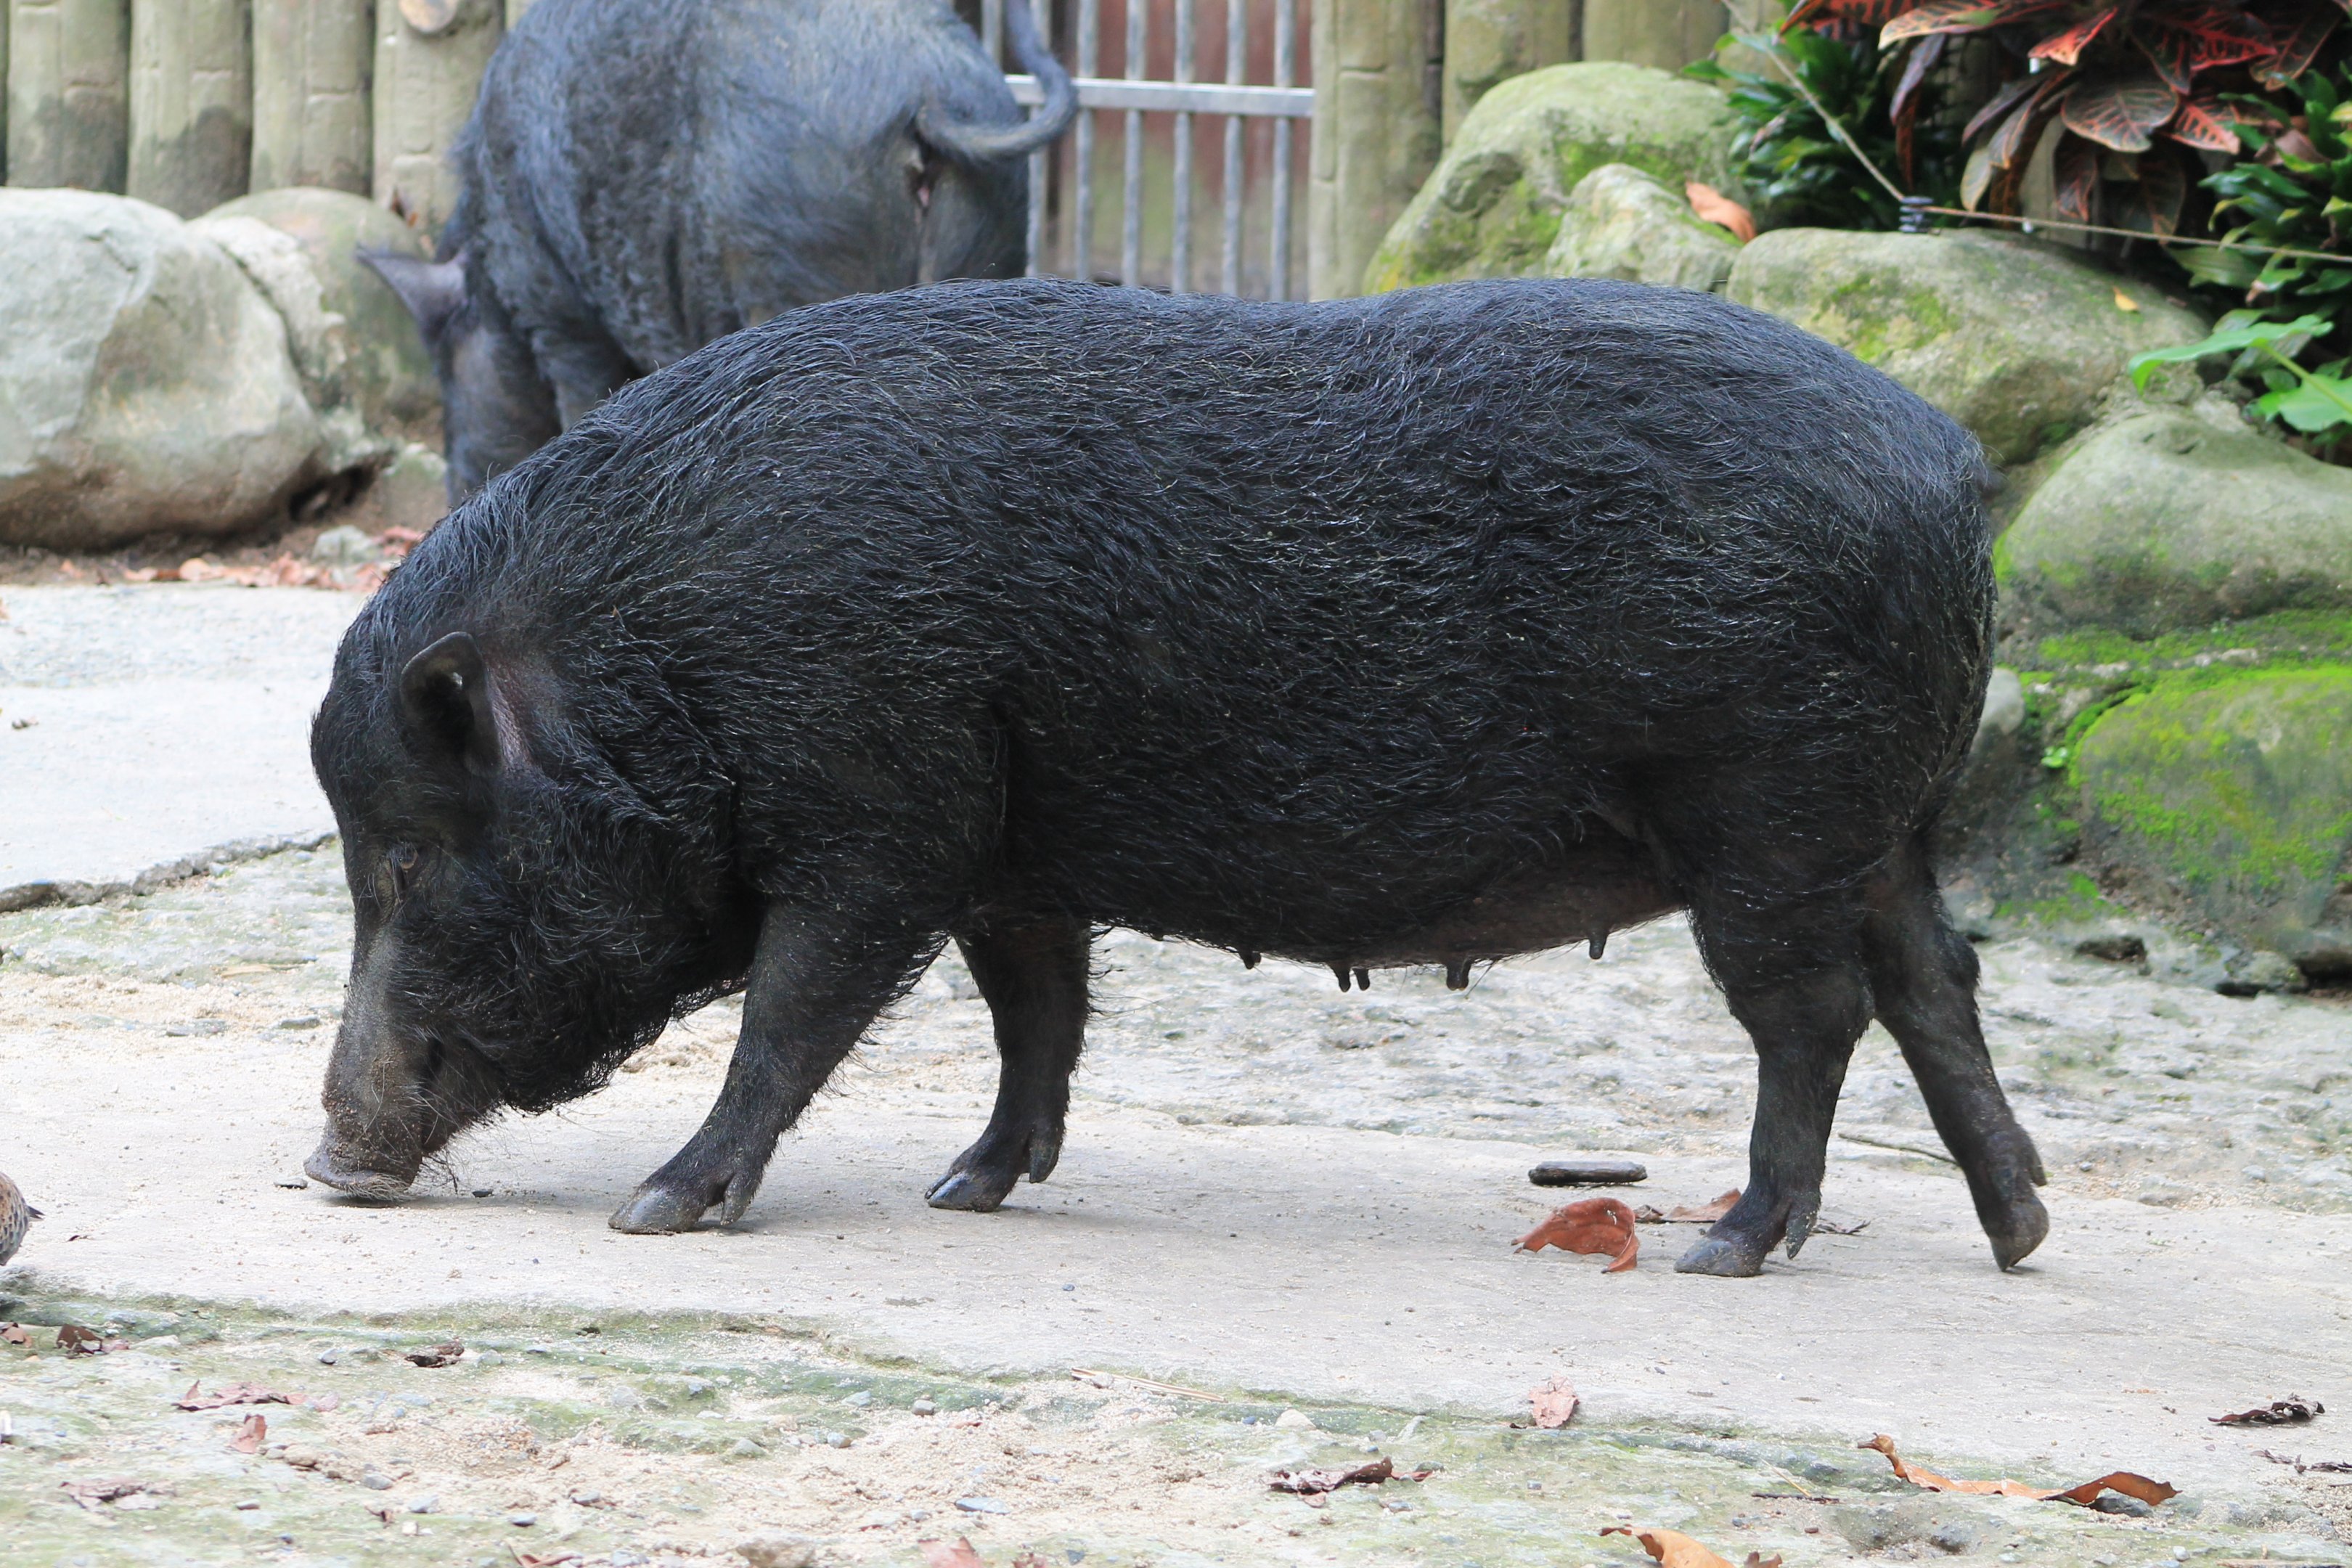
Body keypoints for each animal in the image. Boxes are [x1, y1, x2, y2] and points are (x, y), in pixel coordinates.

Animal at [305, 275, 2049, 1278]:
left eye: (405, 860)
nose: (329, 1166)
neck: (662, 659)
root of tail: (1950, 465)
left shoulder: (888, 809)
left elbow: (794, 1015)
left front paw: (657, 1212)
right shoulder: (1009, 841)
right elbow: (1038, 1013)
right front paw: (967, 1190)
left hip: (1771, 809)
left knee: (1817, 1015)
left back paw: (1734, 1252)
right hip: (1880, 823)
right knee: (1937, 982)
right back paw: (2018, 1231)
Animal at [362, 0, 1074, 502]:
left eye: (445, 358)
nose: (454, 491)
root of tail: (929, 96)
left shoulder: (558, 314)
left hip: (800, 238)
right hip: (993, 233)